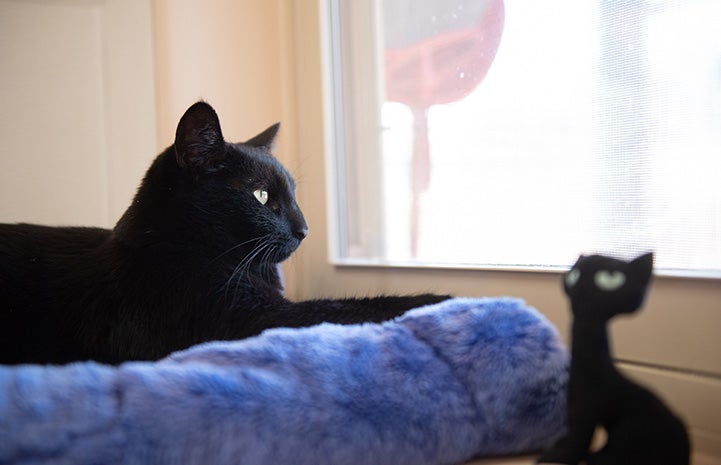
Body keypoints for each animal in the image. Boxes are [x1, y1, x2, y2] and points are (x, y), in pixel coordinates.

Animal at [0, 102, 448, 366]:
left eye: (293, 194)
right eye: (262, 195)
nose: (305, 229)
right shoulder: (254, 321)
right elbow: (349, 309)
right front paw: (442, 301)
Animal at [536, 252, 688, 464]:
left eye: (610, 278)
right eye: (574, 275)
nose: (581, 287)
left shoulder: (587, 411)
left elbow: (579, 440)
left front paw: (558, 457)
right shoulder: (574, 407)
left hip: (633, 428)